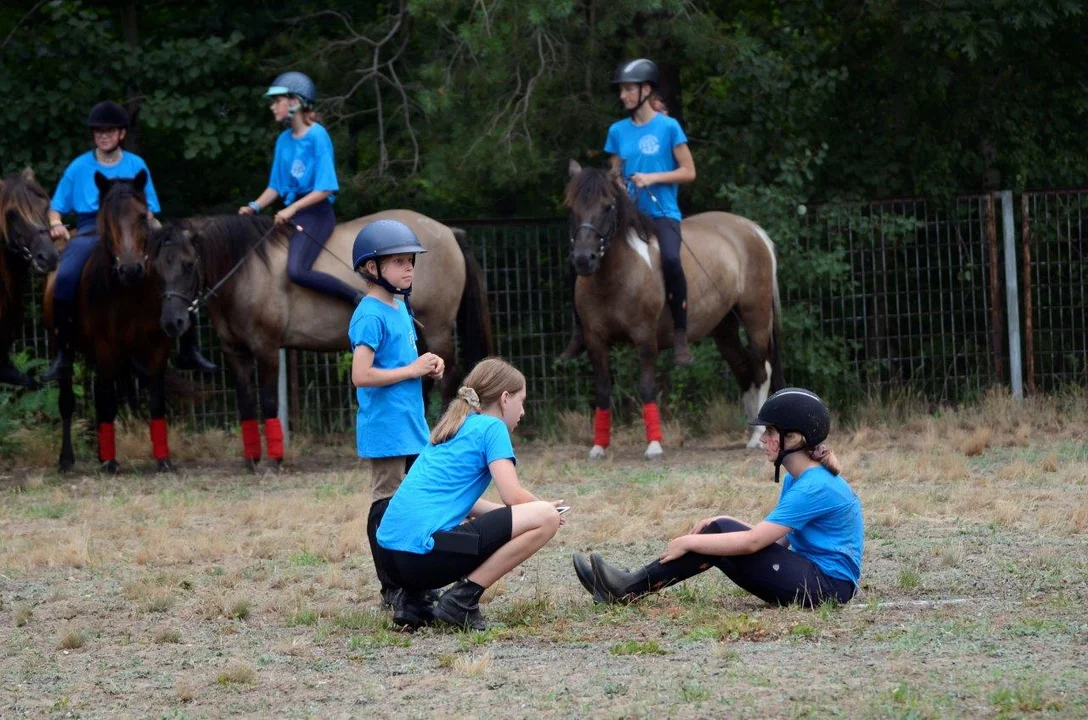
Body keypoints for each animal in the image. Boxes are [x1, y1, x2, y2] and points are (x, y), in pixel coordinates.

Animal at [44, 169, 176, 474]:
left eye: (142, 216)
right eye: (108, 219)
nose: (130, 269)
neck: (130, 292)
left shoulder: (157, 347)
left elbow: (156, 399)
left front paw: (163, 459)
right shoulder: (106, 347)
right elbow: (106, 402)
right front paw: (110, 462)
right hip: (64, 347)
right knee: (68, 401)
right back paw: (67, 460)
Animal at [153, 209, 493, 467]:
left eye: (188, 264)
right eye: (157, 266)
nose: (172, 322)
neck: (246, 271)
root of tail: (448, 231)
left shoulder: (266, 347)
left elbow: (268, 401)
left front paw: (274, 460)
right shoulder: (234, 351)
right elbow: (246, 403)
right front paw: (251, 459)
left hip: (437, 328)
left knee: (448, 378)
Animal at [561, 160, 783, 458]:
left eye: (607, 206)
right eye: (571, 207)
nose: (584, 259)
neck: (617, 274)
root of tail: (753, 230)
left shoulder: (645, 338)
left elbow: (646, 387)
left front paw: (654, 445)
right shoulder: (596, 341)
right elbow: (603, 390)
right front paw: (599, 447)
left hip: (756, 318)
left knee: (761, 369)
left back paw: (758, 436)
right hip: (724, 329)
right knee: (744, 370)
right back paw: (751, 430)